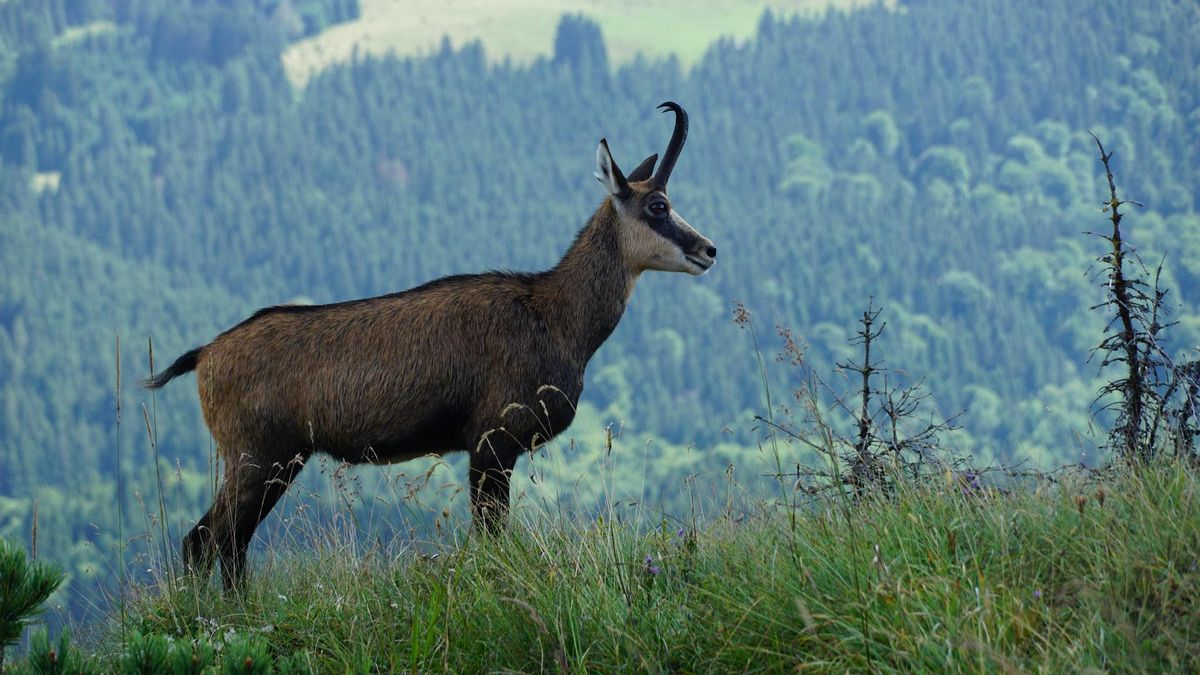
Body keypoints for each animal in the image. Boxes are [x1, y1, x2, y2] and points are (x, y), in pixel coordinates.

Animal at [146, 102, 717, 588]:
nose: (709, 249)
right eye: (658, 205)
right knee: (211, 539)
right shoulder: (491, 443)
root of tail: (207, 355)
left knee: (222, 542)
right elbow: (490, 539)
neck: (553, 314)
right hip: (259, 456)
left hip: (271, 460)